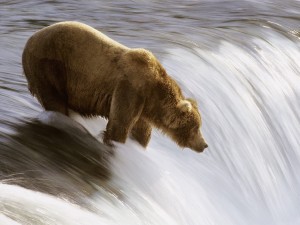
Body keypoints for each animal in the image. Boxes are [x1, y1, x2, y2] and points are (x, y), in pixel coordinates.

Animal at [22, 21, 209, 152]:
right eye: (196, 127)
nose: (204, 144)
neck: (153, 95)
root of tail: (29, 40)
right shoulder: (130, 89)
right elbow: (119, 125)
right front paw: (115, 144)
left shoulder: (143, 106)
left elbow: (141, 131)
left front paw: (139, 145)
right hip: (51, 65)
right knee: (55, 100)